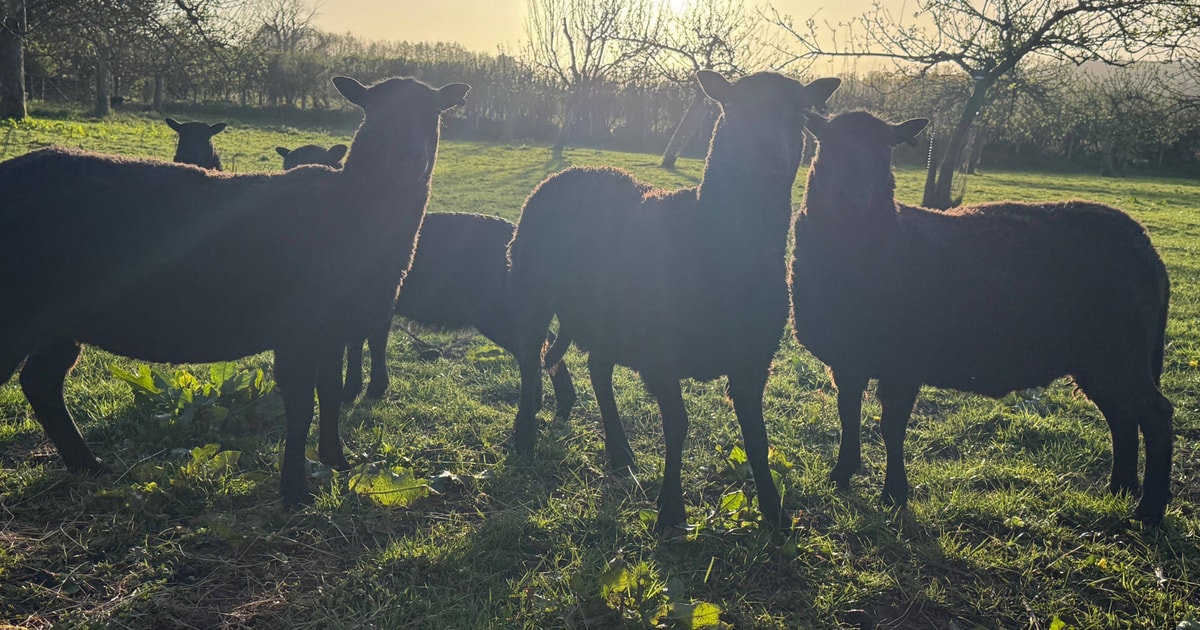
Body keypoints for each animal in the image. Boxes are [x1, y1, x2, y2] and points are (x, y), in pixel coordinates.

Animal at [0, 76, 470, 506]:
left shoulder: (334, 329)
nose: (409, 157)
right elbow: (301, 404)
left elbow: (332, 393)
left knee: (41, 382)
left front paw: (337, 460)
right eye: (372, 112)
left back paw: (90, 466)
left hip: (58, 322)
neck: (350, 207)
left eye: (434, 114)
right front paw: (295, 491)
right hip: (18, 310)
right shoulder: (298, 329)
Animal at [277, 145, 577, 417]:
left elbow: (360, 345)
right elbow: (373, 342)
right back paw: (561, 404)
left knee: (534, 351)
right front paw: (374, 388)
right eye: (286, 168)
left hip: (501, 313)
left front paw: (353, 391)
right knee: (547, 346)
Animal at [507, 71, 841, 531]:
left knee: (597, 369)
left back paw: (619, 451)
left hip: (607, 314)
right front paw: (670, 512)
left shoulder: (754, 359)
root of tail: (573, 170)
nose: (769, 157)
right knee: (530, 356)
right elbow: (678, 426)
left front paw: (775, 514)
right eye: (732, 110)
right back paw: (525, 435)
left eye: (800, 114)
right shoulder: (660, 356)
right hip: (533, 288)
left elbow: (757, 437)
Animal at [791, 110, 1173, 524]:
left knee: (1155, 414)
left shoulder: (904, 362)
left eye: (885, 151)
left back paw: (1149, 510)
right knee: (1123, 415)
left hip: (1121, 350)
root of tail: (1146, 248)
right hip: (1098, 358)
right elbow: (848, 415)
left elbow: (890, 429)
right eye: (825, 146)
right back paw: (1120, 488)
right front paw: (842, 475)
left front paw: (894, 494)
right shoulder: (847, 360)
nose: (853, 198)